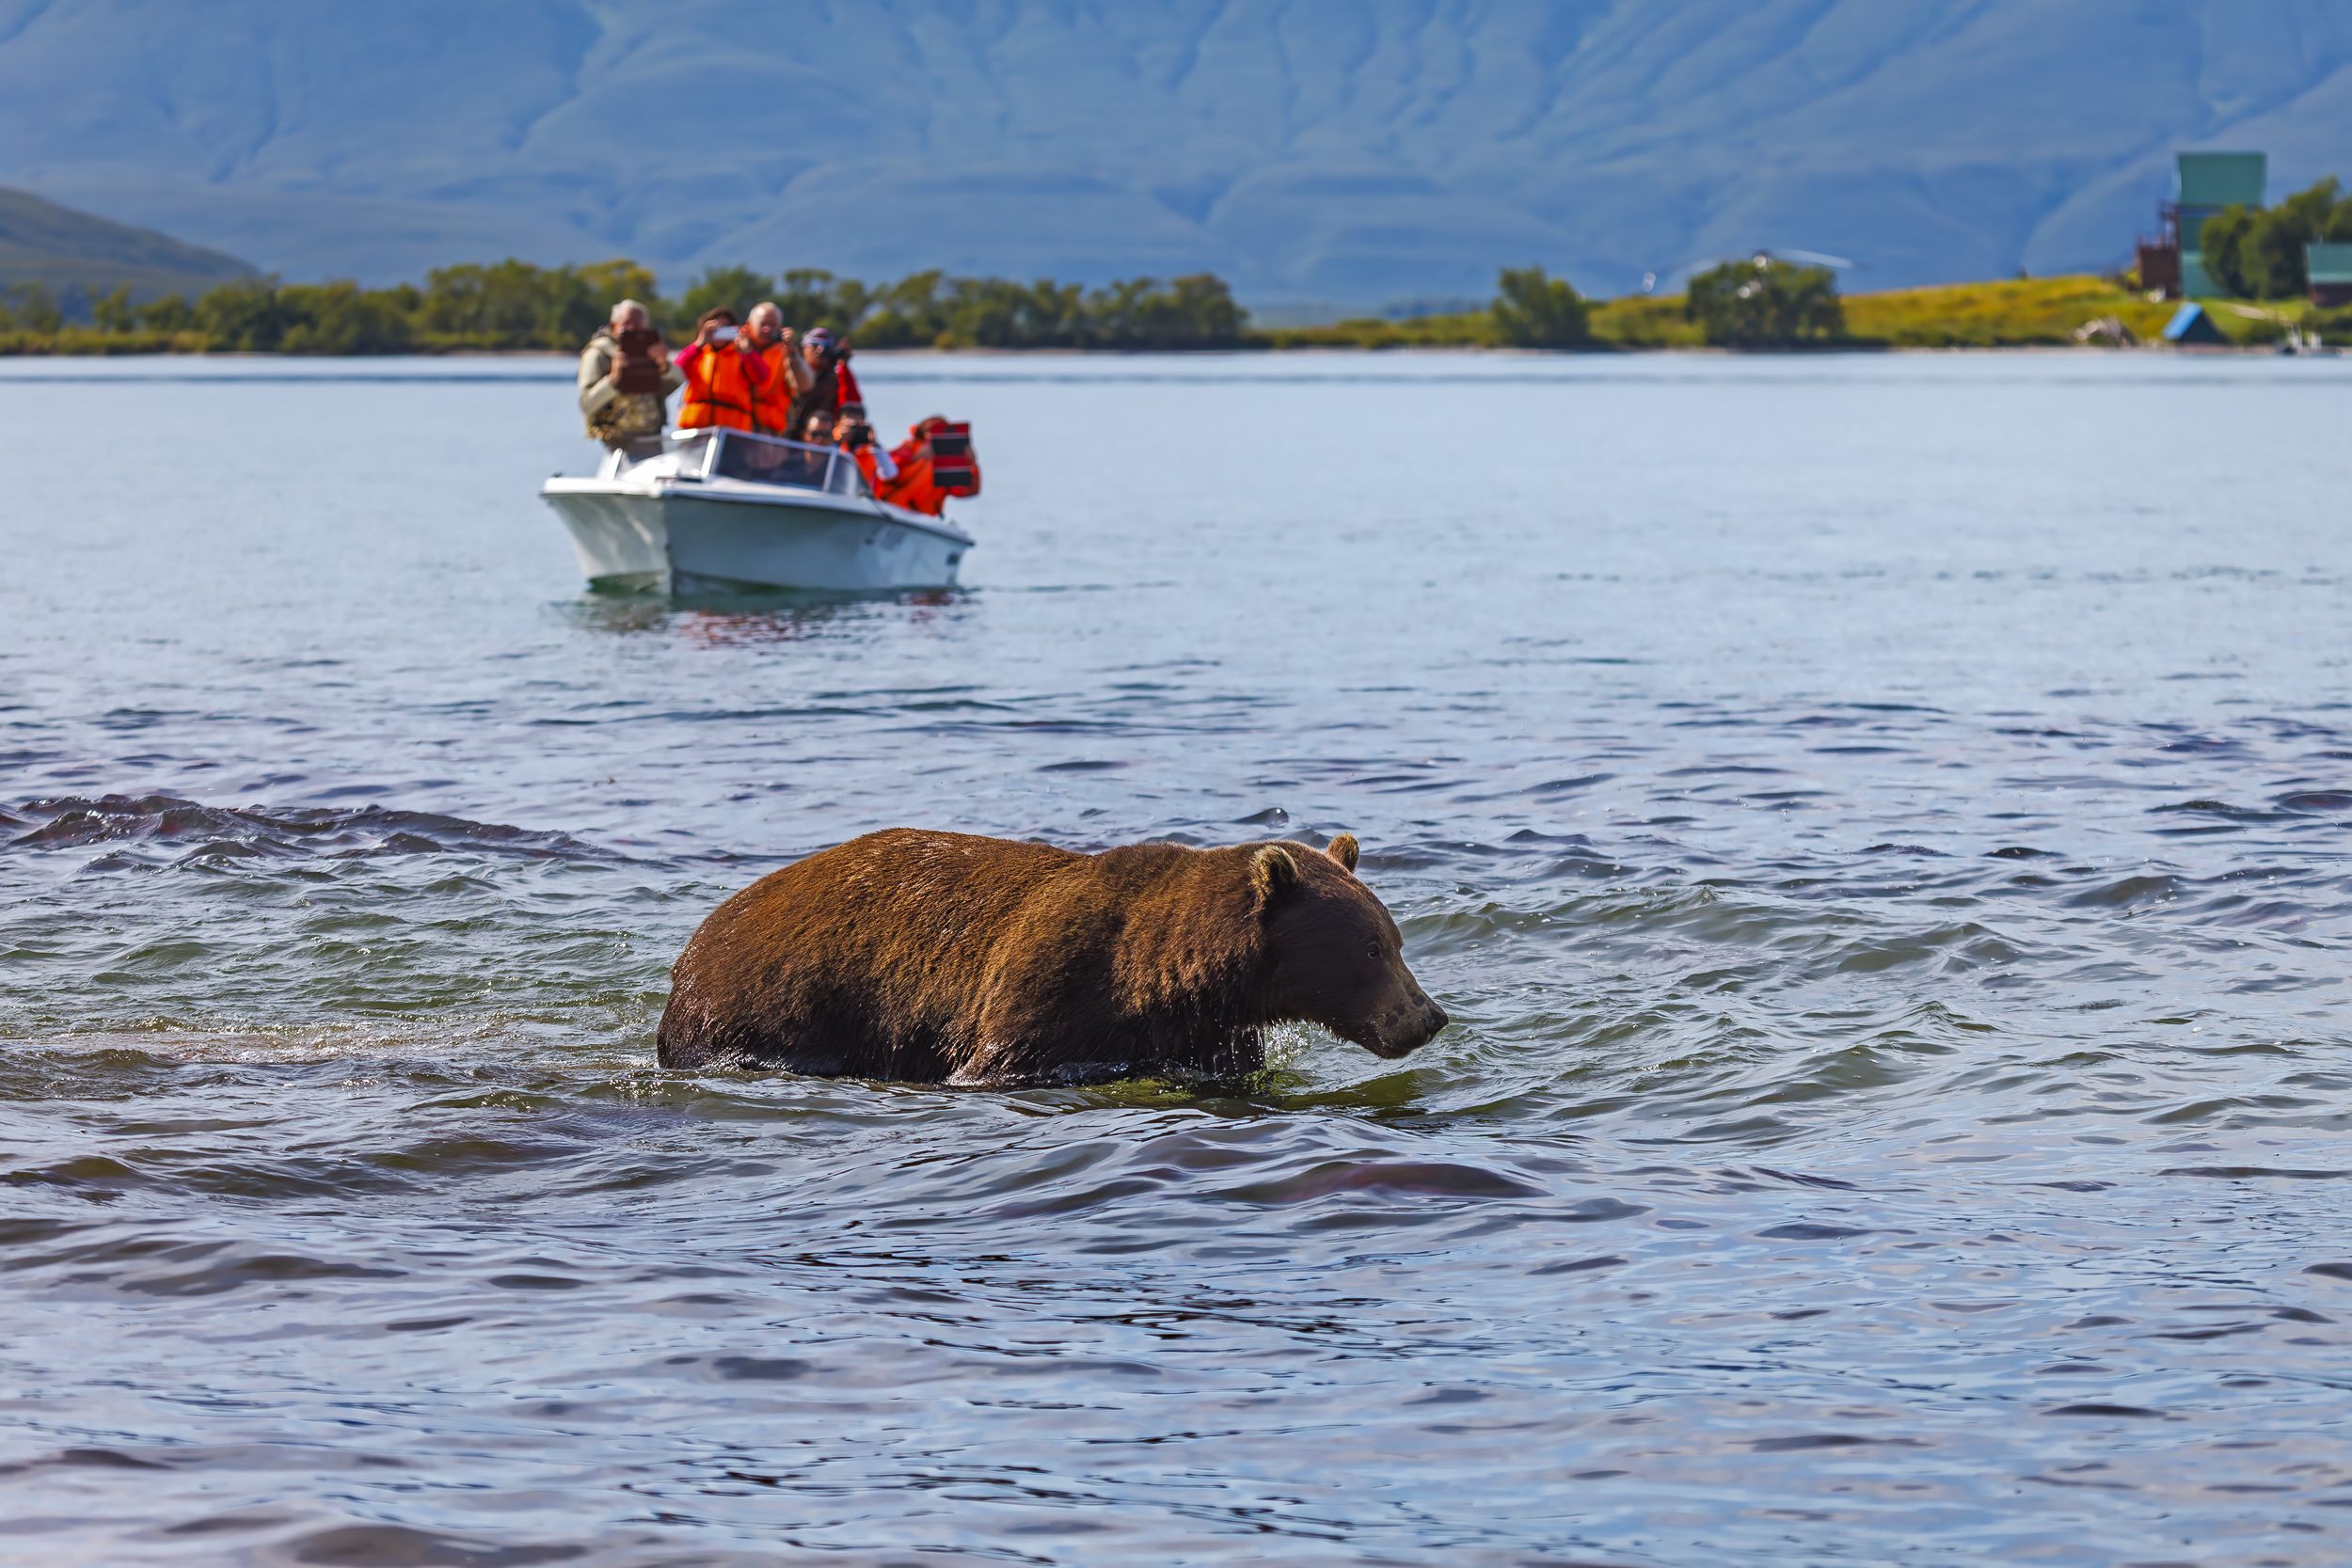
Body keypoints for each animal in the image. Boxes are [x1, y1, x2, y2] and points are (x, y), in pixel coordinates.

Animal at [654, 832, 1439, 1081]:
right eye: (1372, 947)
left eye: (1397, 940)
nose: (1428, 1015)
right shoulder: (1046, 997)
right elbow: (997, 1061)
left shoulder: (1207, 1036)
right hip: (765, 1006)